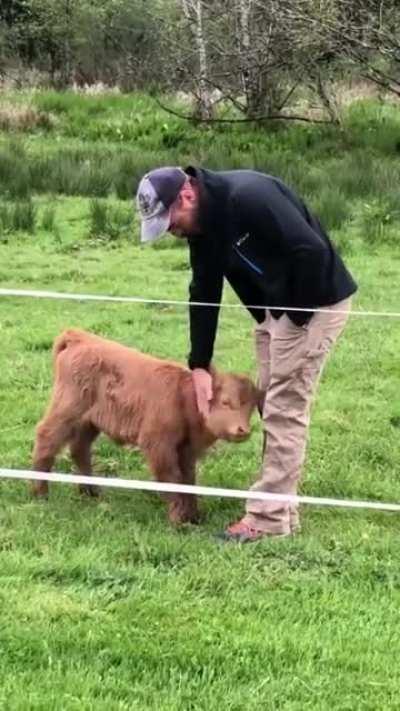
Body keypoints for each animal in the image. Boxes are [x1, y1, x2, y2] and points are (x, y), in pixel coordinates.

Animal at [31, 329, 261, 524]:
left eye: (251, 408)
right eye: (225, 401)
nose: (243, 430)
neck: (183, 396)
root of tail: (79, 337)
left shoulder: (185, 450)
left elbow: (187, 479)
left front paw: (194, 516)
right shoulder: (158, 445)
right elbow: (171, 479)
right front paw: (178, 520)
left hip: (88, 422)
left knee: (79, 448)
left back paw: (91, 492)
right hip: (66, 410)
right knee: (47, 438)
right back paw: (40, 493)